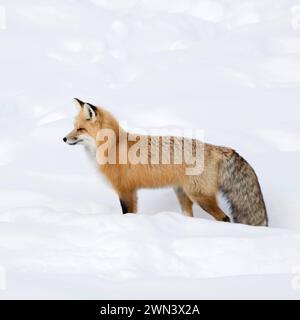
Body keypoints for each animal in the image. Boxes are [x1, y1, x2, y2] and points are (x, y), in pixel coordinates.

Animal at [62, 99, 268, 226]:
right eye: (74, 127)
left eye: (80, 129)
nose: (63, 139)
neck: (113, 145)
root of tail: (214, 147)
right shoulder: (131, 191)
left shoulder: (126, 190)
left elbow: (128, 213)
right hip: (183, 194)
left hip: (200, 196)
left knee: (224, 218)